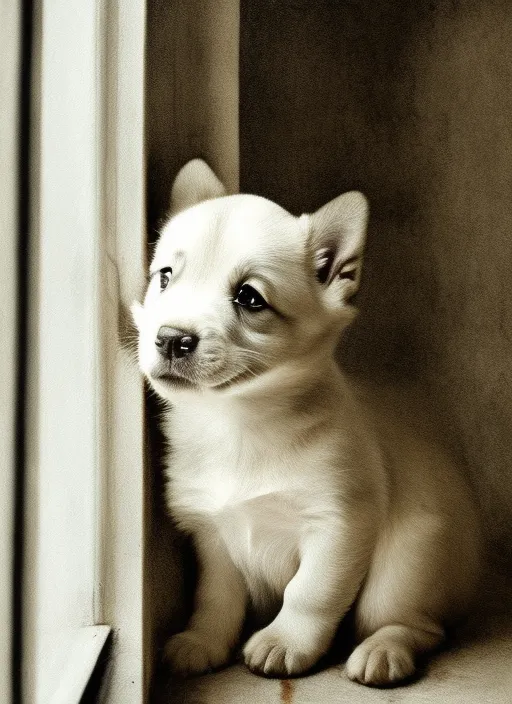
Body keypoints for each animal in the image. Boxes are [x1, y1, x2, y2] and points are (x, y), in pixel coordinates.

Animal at [132, 161, 480, 688]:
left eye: (249, 297)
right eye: (165, 278)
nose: (171, 338)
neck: (236, 421)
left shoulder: (337, 526)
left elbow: (309, 592)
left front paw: (285, 642)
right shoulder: (213, 536)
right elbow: (215, 598)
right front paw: (204, 640)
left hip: (403, 572)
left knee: (417, 625)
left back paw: (383, 651)